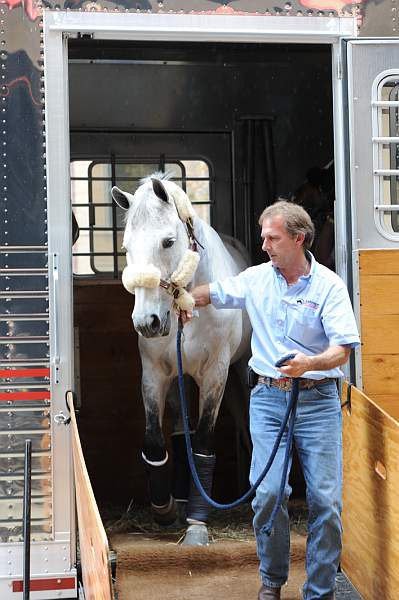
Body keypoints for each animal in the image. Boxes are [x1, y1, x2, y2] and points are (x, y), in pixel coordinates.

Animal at [112, 176, 250, 548]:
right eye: (126, 247)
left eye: (168, 241)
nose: (147, 321)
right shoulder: (155, 374)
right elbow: (154, 440)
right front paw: (165, 508)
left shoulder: (216, 373)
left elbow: (202, 443)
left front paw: (197, 525)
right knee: (179, 428)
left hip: (241, 370)